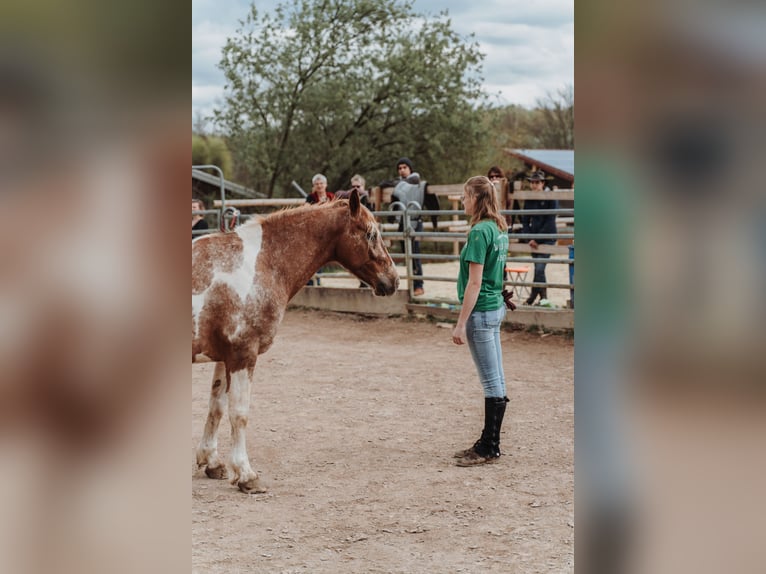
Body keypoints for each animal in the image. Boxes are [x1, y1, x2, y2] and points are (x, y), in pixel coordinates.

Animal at [194, 190, 402, 496]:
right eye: (371, 234)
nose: (394, 281)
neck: (260, 264)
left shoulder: (224, 357)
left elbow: (216, 406)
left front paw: (211, 462)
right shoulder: (243, 354)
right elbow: (239, 414)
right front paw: (246, 475)